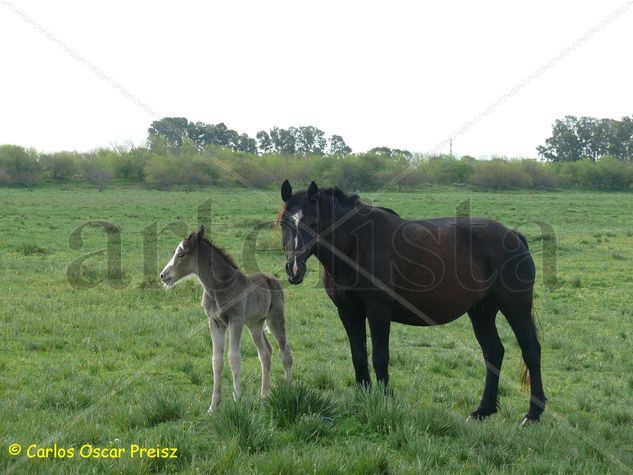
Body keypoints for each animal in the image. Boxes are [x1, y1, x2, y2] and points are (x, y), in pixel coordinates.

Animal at [160, 226, 294, 412]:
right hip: (255, 325)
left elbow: (234, 357)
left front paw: (237, 399)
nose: (163, 276)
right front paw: (213, 406)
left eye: (181, 254)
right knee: (265, 352)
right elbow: (217, 361)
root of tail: (273, 278)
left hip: (275, 319)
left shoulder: (235, 321)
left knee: (285, 352)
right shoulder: (214, 323)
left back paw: (287, 390)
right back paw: (264, 397)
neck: (218, 289)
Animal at [278, 181, 544, 424]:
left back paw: (533, 413)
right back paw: (483, 410)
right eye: (283, 223)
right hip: (481, 312)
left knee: (531, 350)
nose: (294, 269)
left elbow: (380, 357)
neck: (357, 245)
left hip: (516, 309)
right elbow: (358, 357)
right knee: (493, 352)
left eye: (313, 223)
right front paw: (363, 399)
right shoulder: (348, 312)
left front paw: (385, 401)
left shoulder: (378, 311)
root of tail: (514, 236)